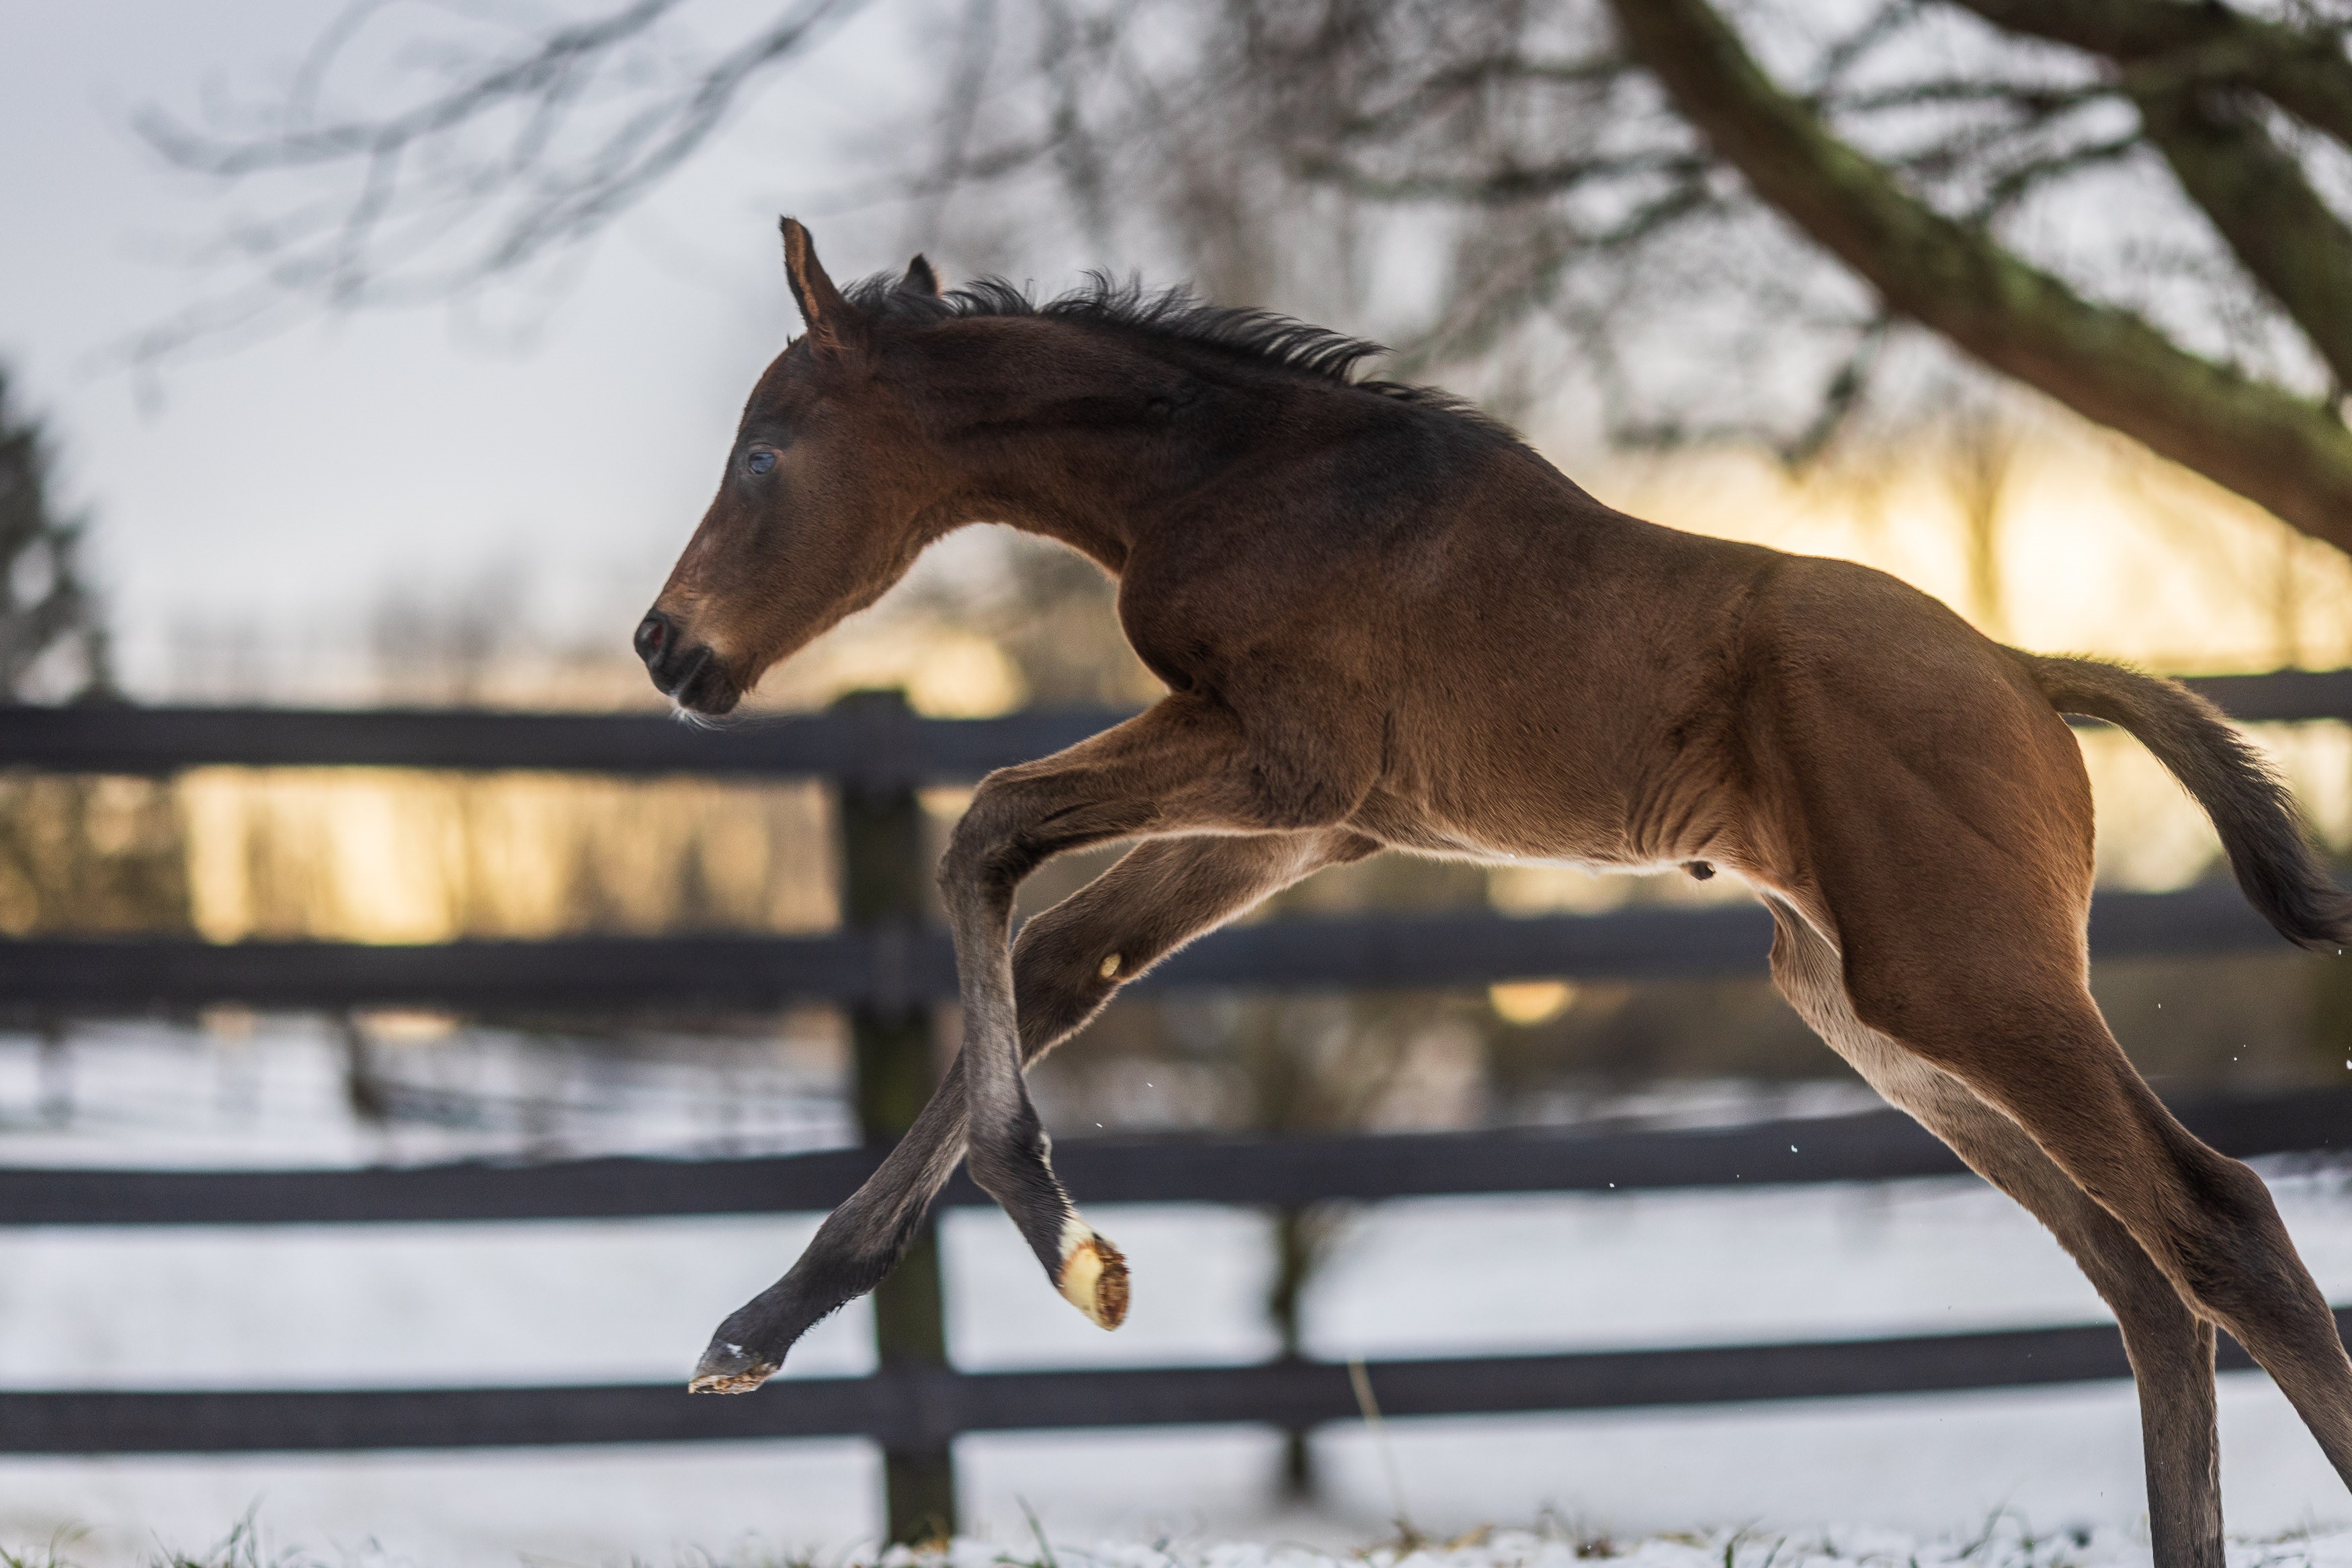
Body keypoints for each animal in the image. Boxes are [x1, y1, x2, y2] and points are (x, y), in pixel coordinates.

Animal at [640, 217, 2352, 1561]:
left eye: (762, 455)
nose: (664, 649)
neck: (1240, 474)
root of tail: (2022, 666)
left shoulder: (1283, 760)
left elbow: (984, 830)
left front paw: (1072, 1250)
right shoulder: (1303, 822)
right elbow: (1060, 954)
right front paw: (761, 1325)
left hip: (1965, 981)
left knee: (2219, 1225)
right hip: (1877, 1012)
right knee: (2143, 1283)